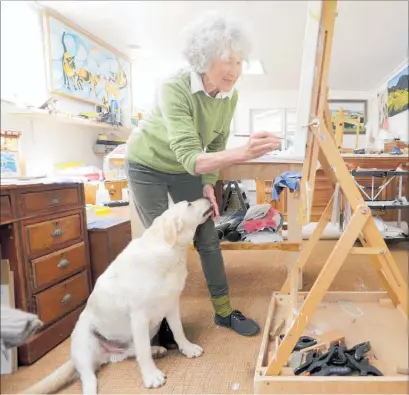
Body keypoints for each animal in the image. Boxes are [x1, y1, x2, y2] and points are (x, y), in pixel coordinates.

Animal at [22, 200, 212, 394]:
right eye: (189, 204)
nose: (206, 198)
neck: (170, 251)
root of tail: (107, 354)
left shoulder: (171, 305)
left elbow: (177, 330)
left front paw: (187, 348)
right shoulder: (139, 317)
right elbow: (143, 350)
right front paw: (151, 376)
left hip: (150, 328)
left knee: (131, 351)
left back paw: (156, 350)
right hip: (85, 346)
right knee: (90, 378)